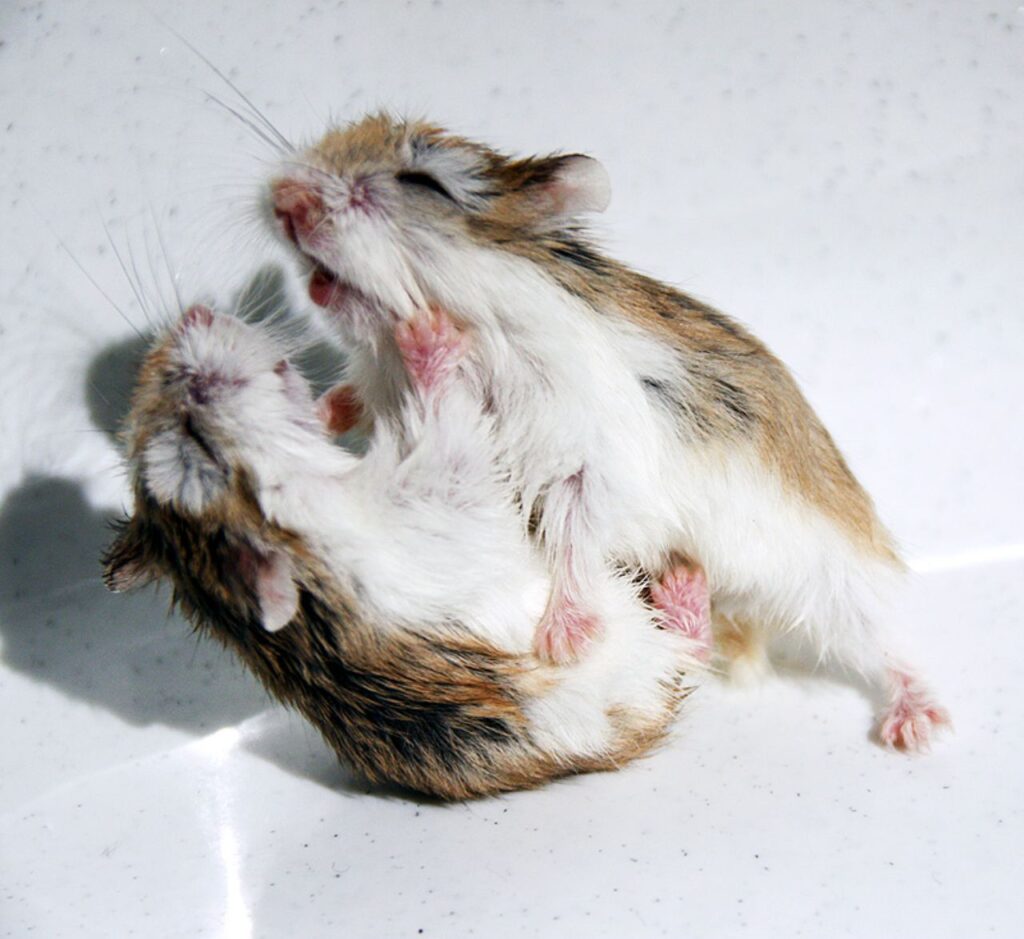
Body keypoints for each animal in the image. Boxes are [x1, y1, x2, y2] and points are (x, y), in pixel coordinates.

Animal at [103, 302, 700, 798]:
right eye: (194, 436)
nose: (195, 313)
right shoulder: (440, 499)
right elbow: (443, 427)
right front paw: (423, 335)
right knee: (687, 647)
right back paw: (682, 588)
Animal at [266, 113, 949, 751]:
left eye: (423, 182)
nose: (283, 196)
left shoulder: (589, 462)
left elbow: (575, 539)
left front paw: (562, 644)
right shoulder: (386, 391)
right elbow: (351, 399)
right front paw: (305, 408)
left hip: (840, 588)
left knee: (893, 648)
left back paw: (914, 727)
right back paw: (686, 592)